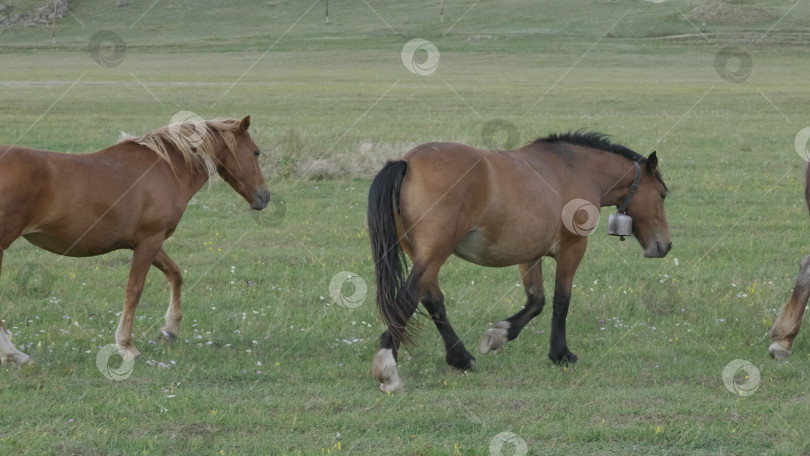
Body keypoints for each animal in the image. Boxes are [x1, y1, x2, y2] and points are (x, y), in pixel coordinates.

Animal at [0, 116, 272, 366]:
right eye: (256, 151)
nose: (265, 197)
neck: (167, 168)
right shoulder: (149, 242)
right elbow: (134, 291)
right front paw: (126, 345)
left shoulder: (149, 242)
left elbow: (175, 275)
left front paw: (170, 330)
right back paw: (13, 353)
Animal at [366, 131, 668, 392]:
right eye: (663, 195)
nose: (664, 245)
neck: (577, 168)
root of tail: (408, 162)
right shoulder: (572, 250)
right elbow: (561, 301)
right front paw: (560, 353)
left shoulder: (530, 255)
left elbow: (536, 302)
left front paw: (498, 334)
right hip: (434, 254)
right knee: (406, 300)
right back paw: (388, 369)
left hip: (424, 256)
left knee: (433, 302)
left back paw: (461, 358)